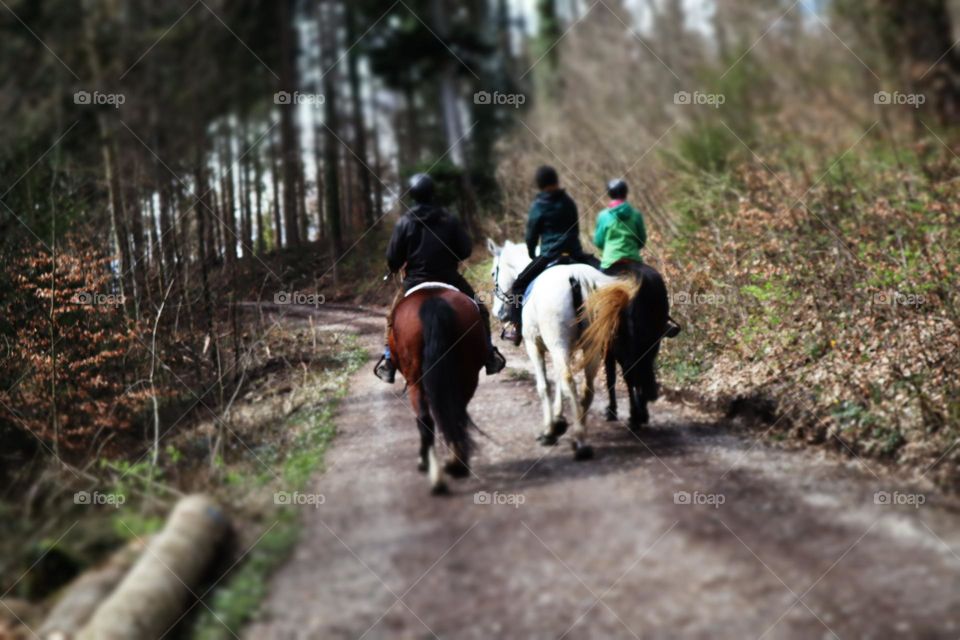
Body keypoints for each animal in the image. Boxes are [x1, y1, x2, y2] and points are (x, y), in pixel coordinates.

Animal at [389, 284, 487, 494]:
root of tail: (434, 302)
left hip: (415, 381)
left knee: (426, 420)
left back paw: (434, 473)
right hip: (468, 375)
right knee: (455, 414)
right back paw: (456, 464)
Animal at [487, 239, 616, 460]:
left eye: (494, 273)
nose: (498, 313)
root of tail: (575, 278)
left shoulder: (534, 345)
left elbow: (545, 385)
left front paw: (549, 430)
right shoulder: (566, 349)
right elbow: (557, 382)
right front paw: (559, 419)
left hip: (558, 343)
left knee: (569, 381)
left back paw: (580, 441)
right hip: (591, 346)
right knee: (586, 387)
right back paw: (580, 427)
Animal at [578, 263, 670, 431]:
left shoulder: (608, 350)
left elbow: (611, 378)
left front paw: (612, 411)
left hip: (623, 346)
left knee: (631, 374)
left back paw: (634, 416)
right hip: (650, 342)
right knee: (643, 371)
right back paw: (642, 412)